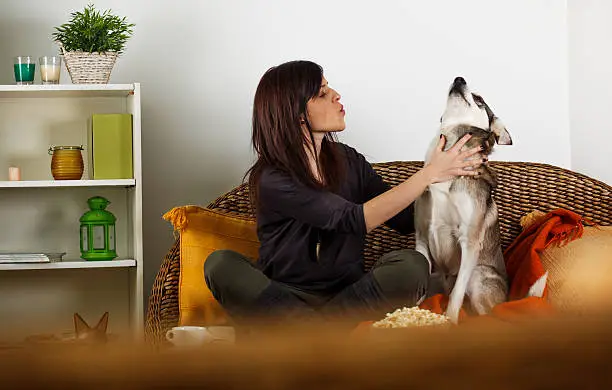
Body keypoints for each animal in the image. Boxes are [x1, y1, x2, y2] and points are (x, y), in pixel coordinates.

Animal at [416, 76, 512, 322]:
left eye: (479, 99)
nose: (459, 78)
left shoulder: (469, 240)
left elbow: (456, 295)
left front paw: (449, 320)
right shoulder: (421, 236)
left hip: (478, 275)